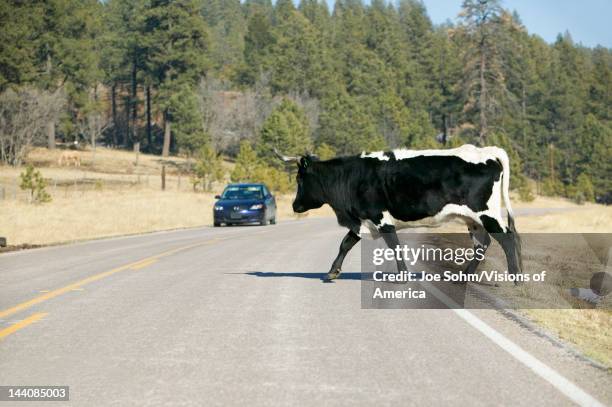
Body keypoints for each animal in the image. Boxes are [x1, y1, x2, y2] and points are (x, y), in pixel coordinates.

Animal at [278, 145, 520, 282]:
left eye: (299, 179)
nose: (295, 206)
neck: (351, 177)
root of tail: (486, 151)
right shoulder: (362, 220)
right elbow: (345, 243)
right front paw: (332, 272)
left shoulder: (379, 217)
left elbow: (394, 245)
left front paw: (403, 275)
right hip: (473, 219)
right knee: (483, 244)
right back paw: (463, 277)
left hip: (487, 214)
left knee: (508, 238)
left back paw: (516, 278)